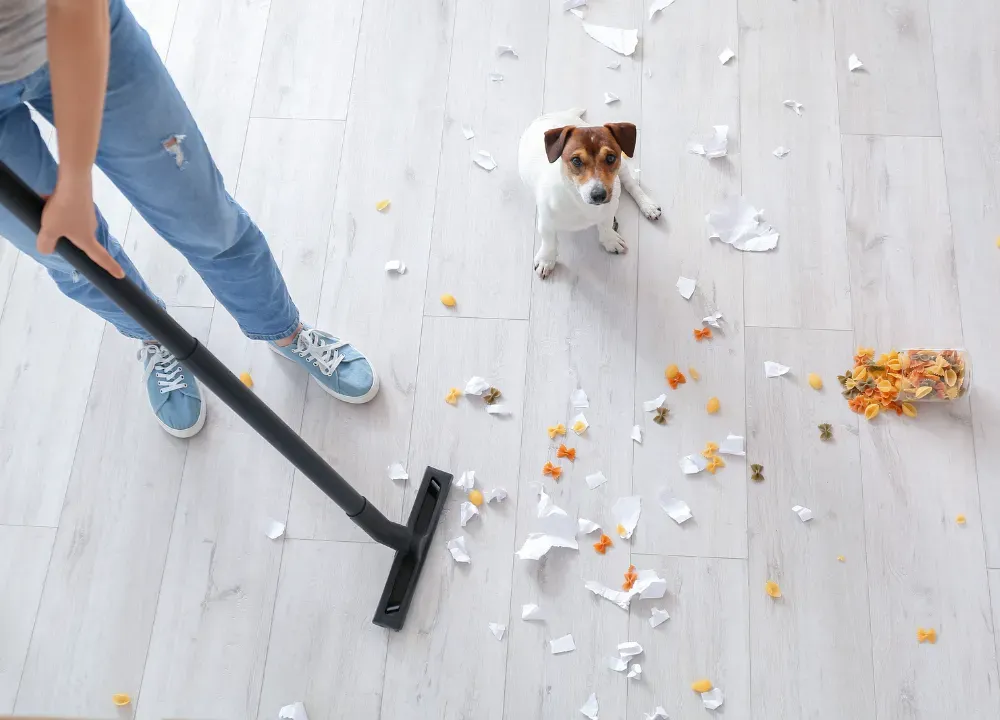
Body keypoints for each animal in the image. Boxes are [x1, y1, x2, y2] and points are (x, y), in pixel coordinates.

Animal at [520, 109, 660, 278]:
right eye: (576, 160)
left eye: (611, 157)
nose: (599, 195)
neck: (579, 200)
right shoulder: (546, 220)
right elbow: (548, 240)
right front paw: (546, 259)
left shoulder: (610, 208)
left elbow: (606, 225)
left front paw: (610, 240)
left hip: (624, 168)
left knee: (631, 185)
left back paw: (648, 206)